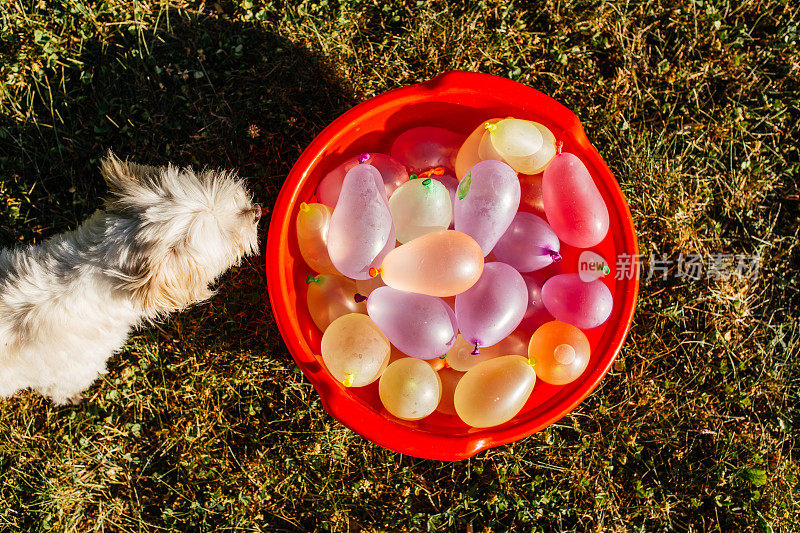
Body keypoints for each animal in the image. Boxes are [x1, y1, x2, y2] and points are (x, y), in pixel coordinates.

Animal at [0, 153, 260, 404]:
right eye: (228, 235)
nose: (257, 211)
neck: (95, 264)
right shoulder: (71, 373)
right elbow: (61, 391)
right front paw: (72, 399)